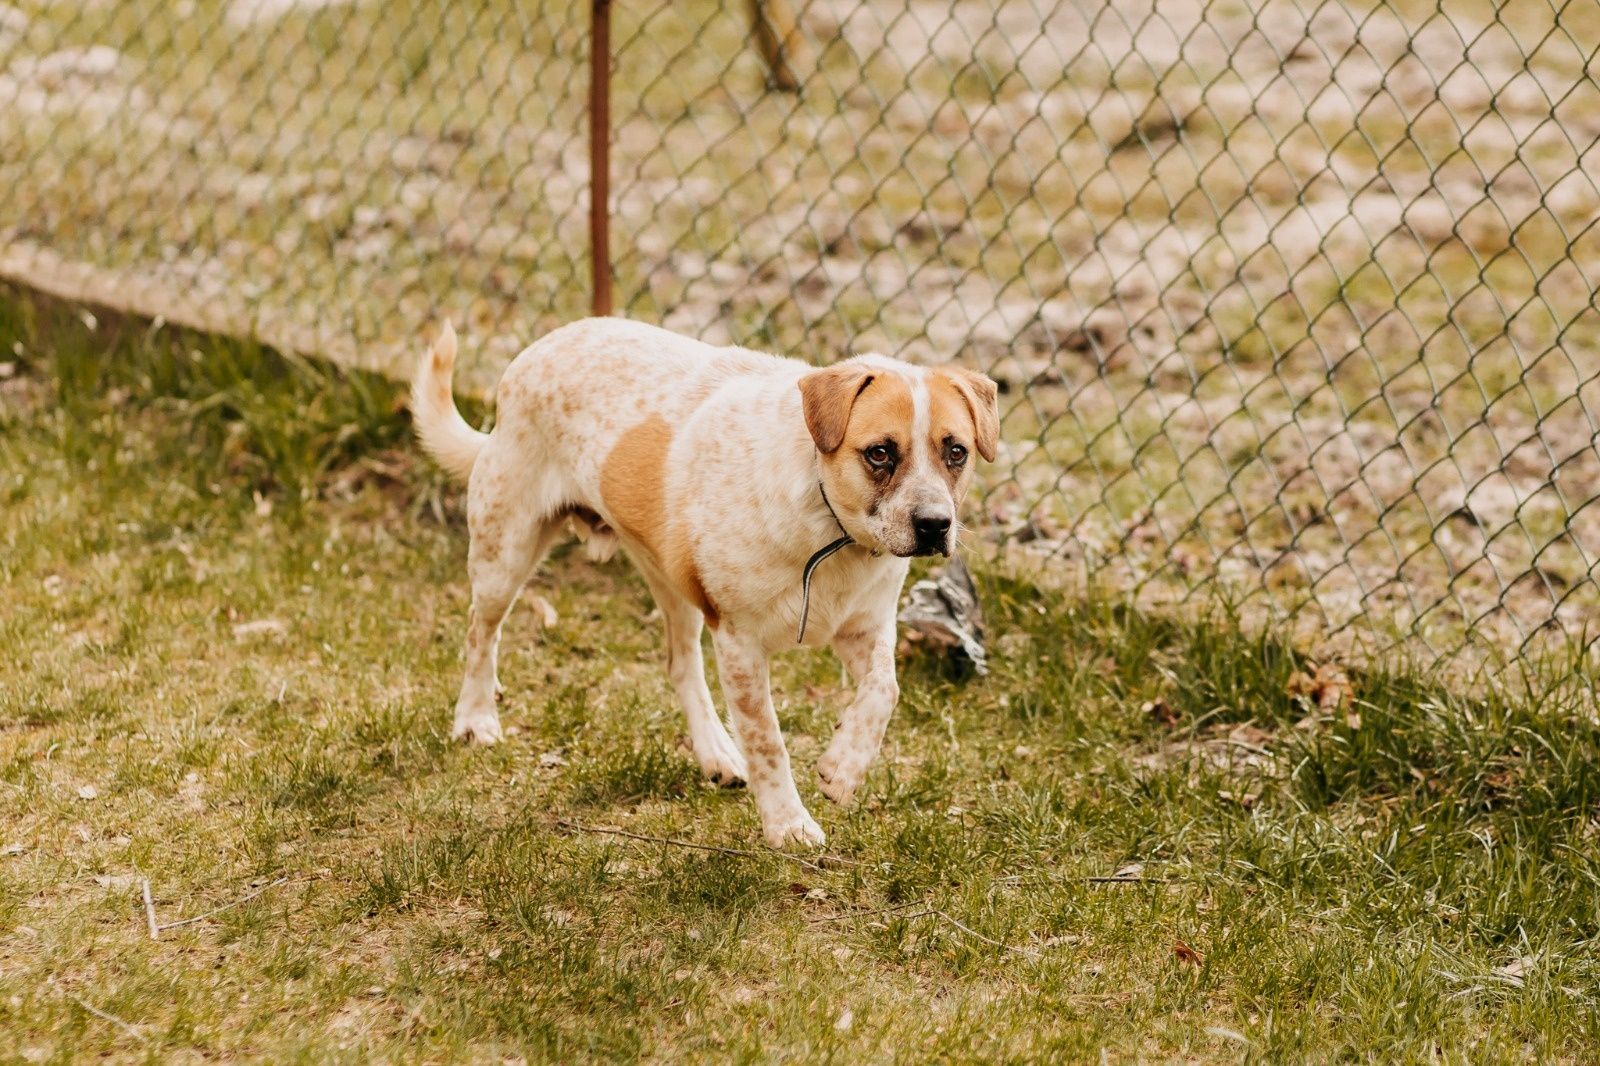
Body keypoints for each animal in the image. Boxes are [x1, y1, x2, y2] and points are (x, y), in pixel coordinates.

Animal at [406, 316, 992, 845]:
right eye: (880, 452)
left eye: (956, 451)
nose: (935, 525)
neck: (829, 531)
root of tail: (533, 352)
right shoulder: (739, 644)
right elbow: (768, 741)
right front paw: (788, 825)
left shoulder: (864, 629)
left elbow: (885, 690)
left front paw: (842, 769)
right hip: (504, 553)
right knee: (480, 634)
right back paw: (476, 719)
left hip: (673, 587)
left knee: (680, 664)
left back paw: (716, 754)